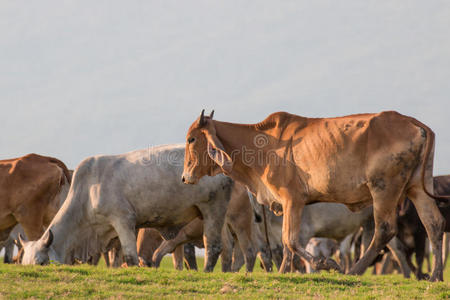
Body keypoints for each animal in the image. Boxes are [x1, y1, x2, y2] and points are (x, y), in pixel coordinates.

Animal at [19, 144, 232, 270]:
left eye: (41, 263)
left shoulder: (123, 220)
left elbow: (130, 257)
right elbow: (117, 258)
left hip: (212, 209)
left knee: (213, 247)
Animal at [182, 110, 446, 282]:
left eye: (191, 138)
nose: (184, 177)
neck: (263, 147)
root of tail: (412, 121)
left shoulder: (293, 199)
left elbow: (290, 240)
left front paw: (325, 264)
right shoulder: (288, 205)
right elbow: (286, 244)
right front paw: (283, 273)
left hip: (384, 189)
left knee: (385, 231)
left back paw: (354, 271)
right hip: (417, 187)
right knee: (434, 224)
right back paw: (436, 275)